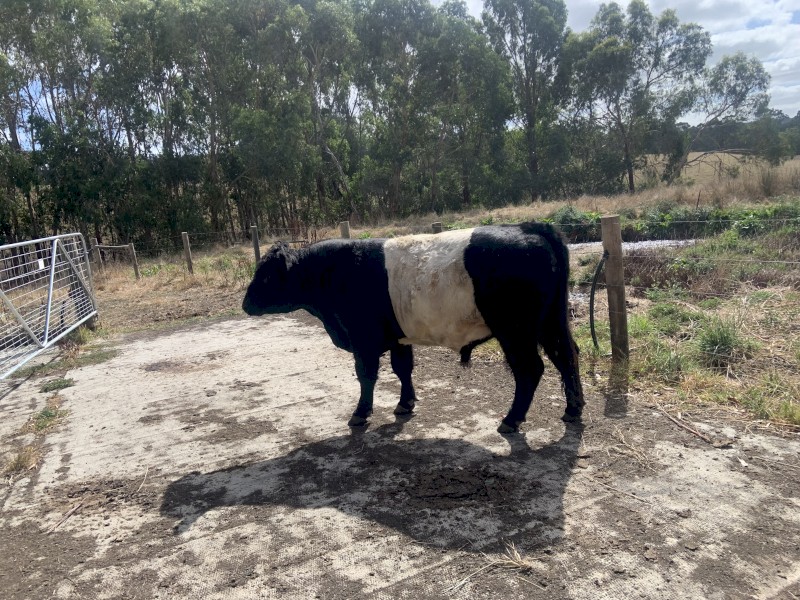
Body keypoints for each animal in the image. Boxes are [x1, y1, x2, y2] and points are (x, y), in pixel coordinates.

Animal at [242, 222, 584, 433]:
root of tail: (529, 226)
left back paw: (511, 420)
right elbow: (402, 369)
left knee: (530, 369)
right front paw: (405, 403)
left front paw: (360, 413)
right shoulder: (398, 337)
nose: (245, 303)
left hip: (515, 331)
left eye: (266, 275)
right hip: (550, 323)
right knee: (566, 356)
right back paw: (573, 409)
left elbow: (367, 376)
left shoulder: (363, 339)